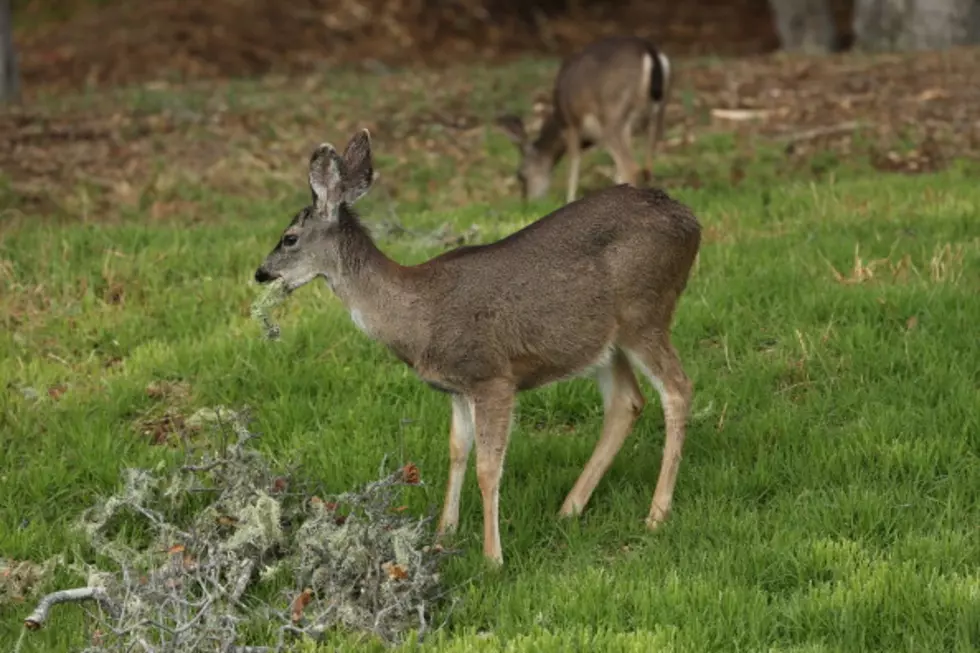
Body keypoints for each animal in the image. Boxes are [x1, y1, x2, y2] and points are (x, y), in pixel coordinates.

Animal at [253, 129, 696, 564]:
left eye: (289, 238)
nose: (261, 273)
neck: (417, 316)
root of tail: (692, 222)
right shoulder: (457, 386)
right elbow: (456, 451)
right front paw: (443, 534)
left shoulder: (492, 375)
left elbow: (487, 466)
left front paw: (492, 558)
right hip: (603, 342)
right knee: (627, 401)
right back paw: (569, 508)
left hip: (645, 313)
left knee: (677, 389)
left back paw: (656, 514)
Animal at [498, 36, 672, 204]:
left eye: (520, 175)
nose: (526, 202)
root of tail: (650, 52)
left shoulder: (572, 123)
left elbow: (574, 163)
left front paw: (569, 200)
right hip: (656, 113)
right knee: (647, 167)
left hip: (612, 115)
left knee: (631, 167)